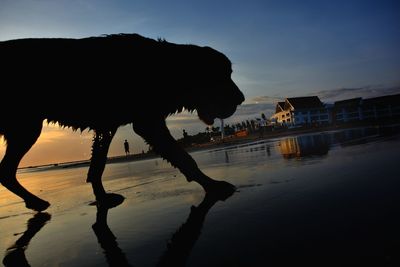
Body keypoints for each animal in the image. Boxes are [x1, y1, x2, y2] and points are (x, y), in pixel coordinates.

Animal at [0, 33, 244, 211]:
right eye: (224, 75)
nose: (241, 98)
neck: (165, 68)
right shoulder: (148, 122)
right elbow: (184, 157)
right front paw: (212, 185)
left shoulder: (106, 126)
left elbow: (97, 166)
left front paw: (101, 197)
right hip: (27, 127)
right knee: (6, 171)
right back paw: (35, 201)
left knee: (6, 171)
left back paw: (33, 201)